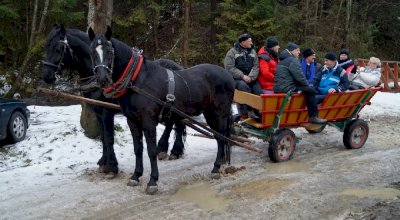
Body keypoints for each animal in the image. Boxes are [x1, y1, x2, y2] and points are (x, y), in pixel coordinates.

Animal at [41, 24, 188, 177]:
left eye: (58, 48)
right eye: (46, 47)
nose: (46, 76)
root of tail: (178, 67)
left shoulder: (107, 112)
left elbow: (109, 137)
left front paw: (111, 166)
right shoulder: (98, 112)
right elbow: (103, 137)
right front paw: (103, 161)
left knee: (175, 124)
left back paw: (172, 150)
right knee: (173, 123)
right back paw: (166, 149)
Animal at [86, 27, 233, 194]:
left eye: (110, 51)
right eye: (92, 51)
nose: (102, 79)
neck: (138, 79)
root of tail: (227, 74)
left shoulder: (148, 121)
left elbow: (151, 150)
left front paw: (152, 181)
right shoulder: (132, 120)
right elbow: (138, 148)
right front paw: (136, 176)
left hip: (218, 114)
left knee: (220, 138)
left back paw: (216, 168)